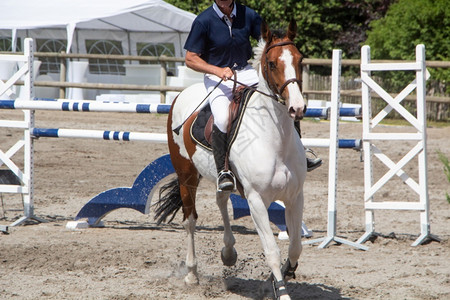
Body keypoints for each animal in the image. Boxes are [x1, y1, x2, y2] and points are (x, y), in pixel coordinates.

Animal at [154, 19, 306, 298]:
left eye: (299, 60)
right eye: (271, 64)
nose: (297, 108)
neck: (276, 139)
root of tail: (181, 94)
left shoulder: (295, 196)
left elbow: (295, 247)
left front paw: (279, 277)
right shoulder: (256, 200)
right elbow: (272, 250)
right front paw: (280, 289)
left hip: (219, 175)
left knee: (221, 198)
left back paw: (228, 252)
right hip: (186, 176)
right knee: (190, 221)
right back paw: (192, 274)